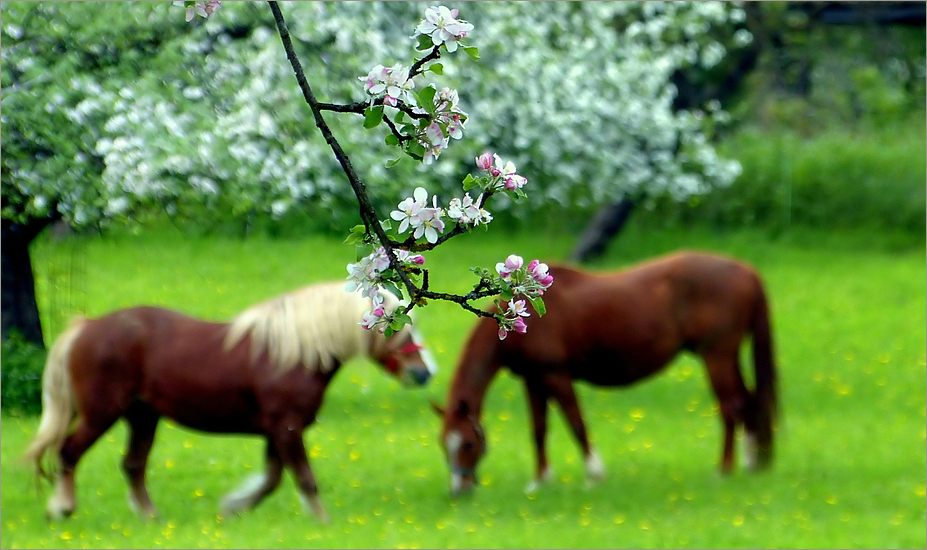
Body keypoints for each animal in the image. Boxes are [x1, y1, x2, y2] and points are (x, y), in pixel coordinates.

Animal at [24, 282, 438, 524]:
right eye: (399, 326)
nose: (424, 373)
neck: (293, 353)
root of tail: (86, 327)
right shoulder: (287, 428)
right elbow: (304, 480)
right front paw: (323, 523)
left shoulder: (278, 431)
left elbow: (272, 480)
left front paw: (234, 508)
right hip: (101, 414)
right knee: (68, 453)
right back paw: (61, 508)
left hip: (143, 417)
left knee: (132, 466)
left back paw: (151, 518)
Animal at [436, 252, 776, 498]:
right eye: (443, 443)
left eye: (468, 444)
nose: (458, 492)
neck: (523, 315)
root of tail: (747, 271)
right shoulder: (534, 380)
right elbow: (539, 430)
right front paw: (540, 481)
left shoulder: (556, 376)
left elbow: (577, 424)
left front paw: (594, 475)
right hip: (728, 358)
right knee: (749, 404)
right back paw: (749, 464)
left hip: (716, 357)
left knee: (732, 407)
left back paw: (725, 470)